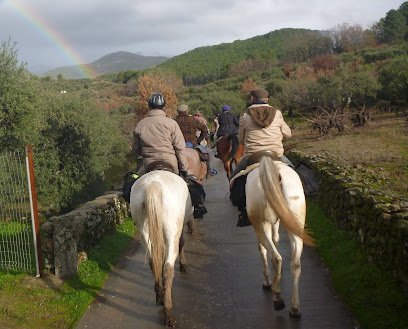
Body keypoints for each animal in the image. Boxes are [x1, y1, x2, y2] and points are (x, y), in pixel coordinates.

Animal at [129, 169, 193, 326]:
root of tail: (153, 186)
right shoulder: (180, 228)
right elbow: (182, 242)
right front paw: (183, 264)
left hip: (143, 228)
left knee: (153, 261)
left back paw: (159, 294)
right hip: (172, 229)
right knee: (168, 267)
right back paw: (168, 311)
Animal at [244, 154, 314, 318]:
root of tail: (276, 173)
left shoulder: (262, 226)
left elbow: (263, 250)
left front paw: (267, 281)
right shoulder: (276, 221)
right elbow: (275, 239)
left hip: (261, 224)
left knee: (277, 257)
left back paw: (277, 298)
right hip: (295, 223)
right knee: (295, 263)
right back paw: (294, 308)